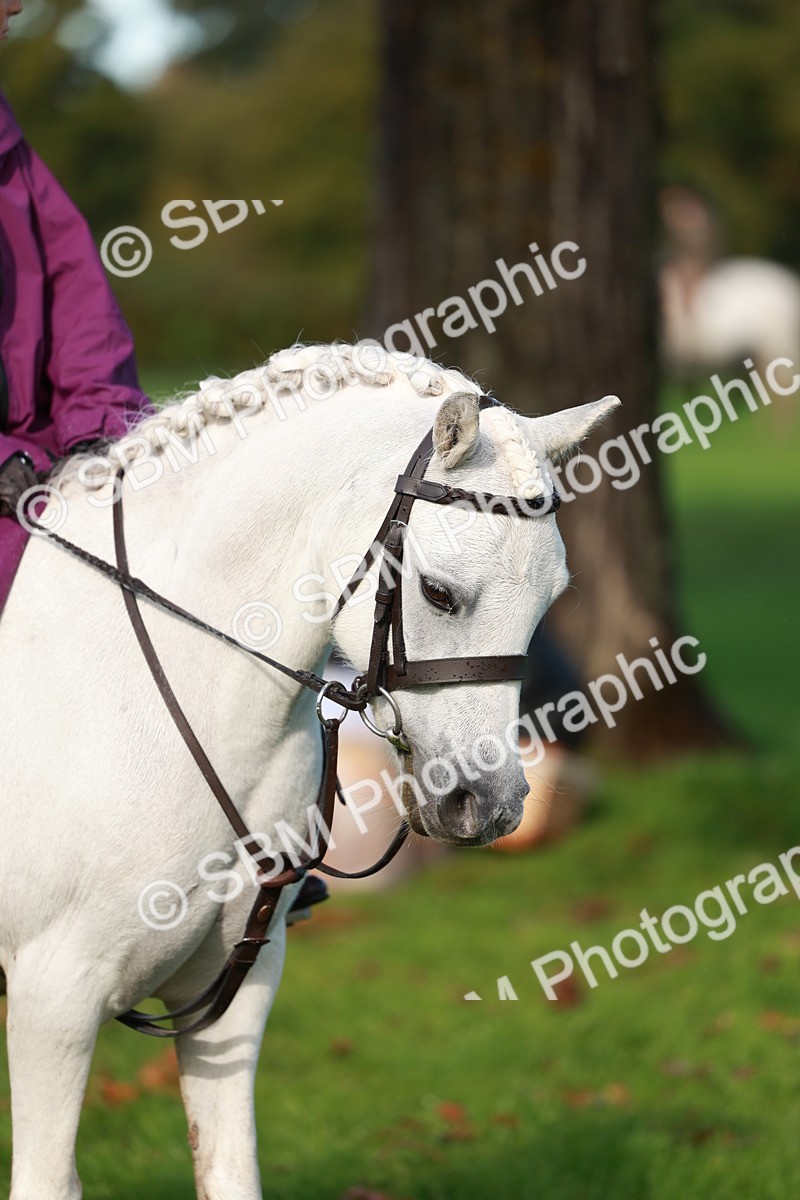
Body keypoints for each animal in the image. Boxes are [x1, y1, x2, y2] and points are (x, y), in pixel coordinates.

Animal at [0, 342, 617, 1200]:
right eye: (437, 593)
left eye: (550, 598)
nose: (486, 804)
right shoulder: (51, 999)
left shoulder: (231, 990)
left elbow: (230, 1170)